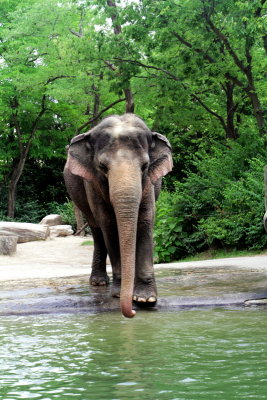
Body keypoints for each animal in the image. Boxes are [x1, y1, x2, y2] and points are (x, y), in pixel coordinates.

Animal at [64, 114, 174, 318]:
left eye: (145, 166)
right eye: (102, 166)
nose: (133, 312)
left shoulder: (149, 184)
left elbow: (145, 221)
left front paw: (146, 299)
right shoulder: (92, 183)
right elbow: (109, 225)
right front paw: (118, 293)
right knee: (97, 231)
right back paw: (99, 283)